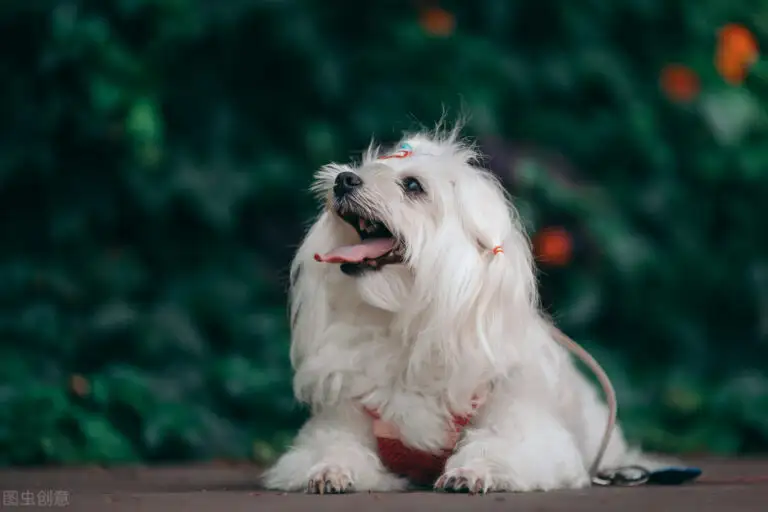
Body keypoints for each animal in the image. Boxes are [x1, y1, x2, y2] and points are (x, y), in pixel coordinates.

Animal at [260, 124, 664, 492]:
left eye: (413, 186)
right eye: (361, 166)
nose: (343, 180)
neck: (404, 326)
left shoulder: (521, 423)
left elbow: (500, 447)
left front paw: (473, 472)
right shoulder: (346, 414)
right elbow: (334, 446)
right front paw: (331, 469)